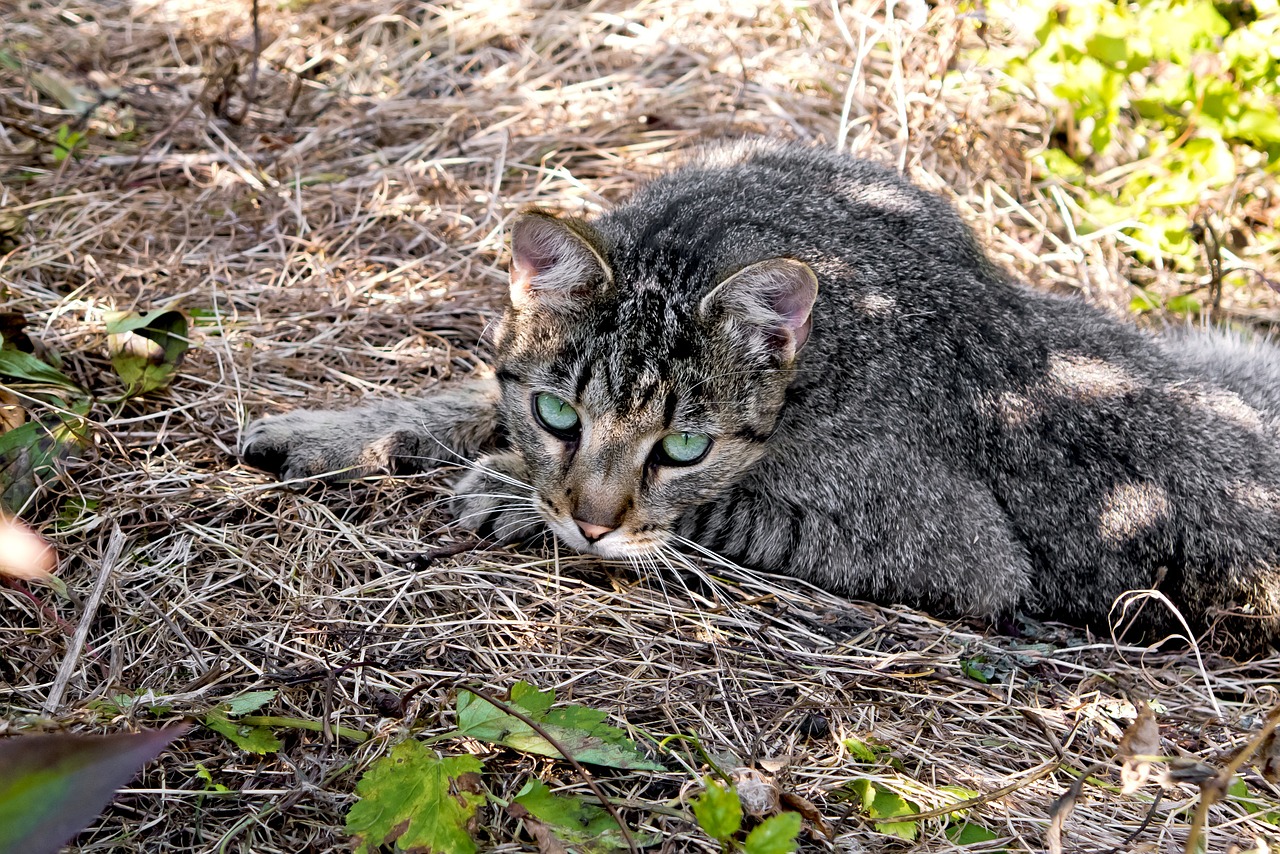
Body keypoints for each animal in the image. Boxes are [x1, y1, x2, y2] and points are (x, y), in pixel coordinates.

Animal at [244, 136, 1280, 650]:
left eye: (683, 449)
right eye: (558, 416)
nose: (588, 523)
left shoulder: (966, 557)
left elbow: (720, 514)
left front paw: (511, 496)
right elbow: (465, 397)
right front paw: (338, 431)